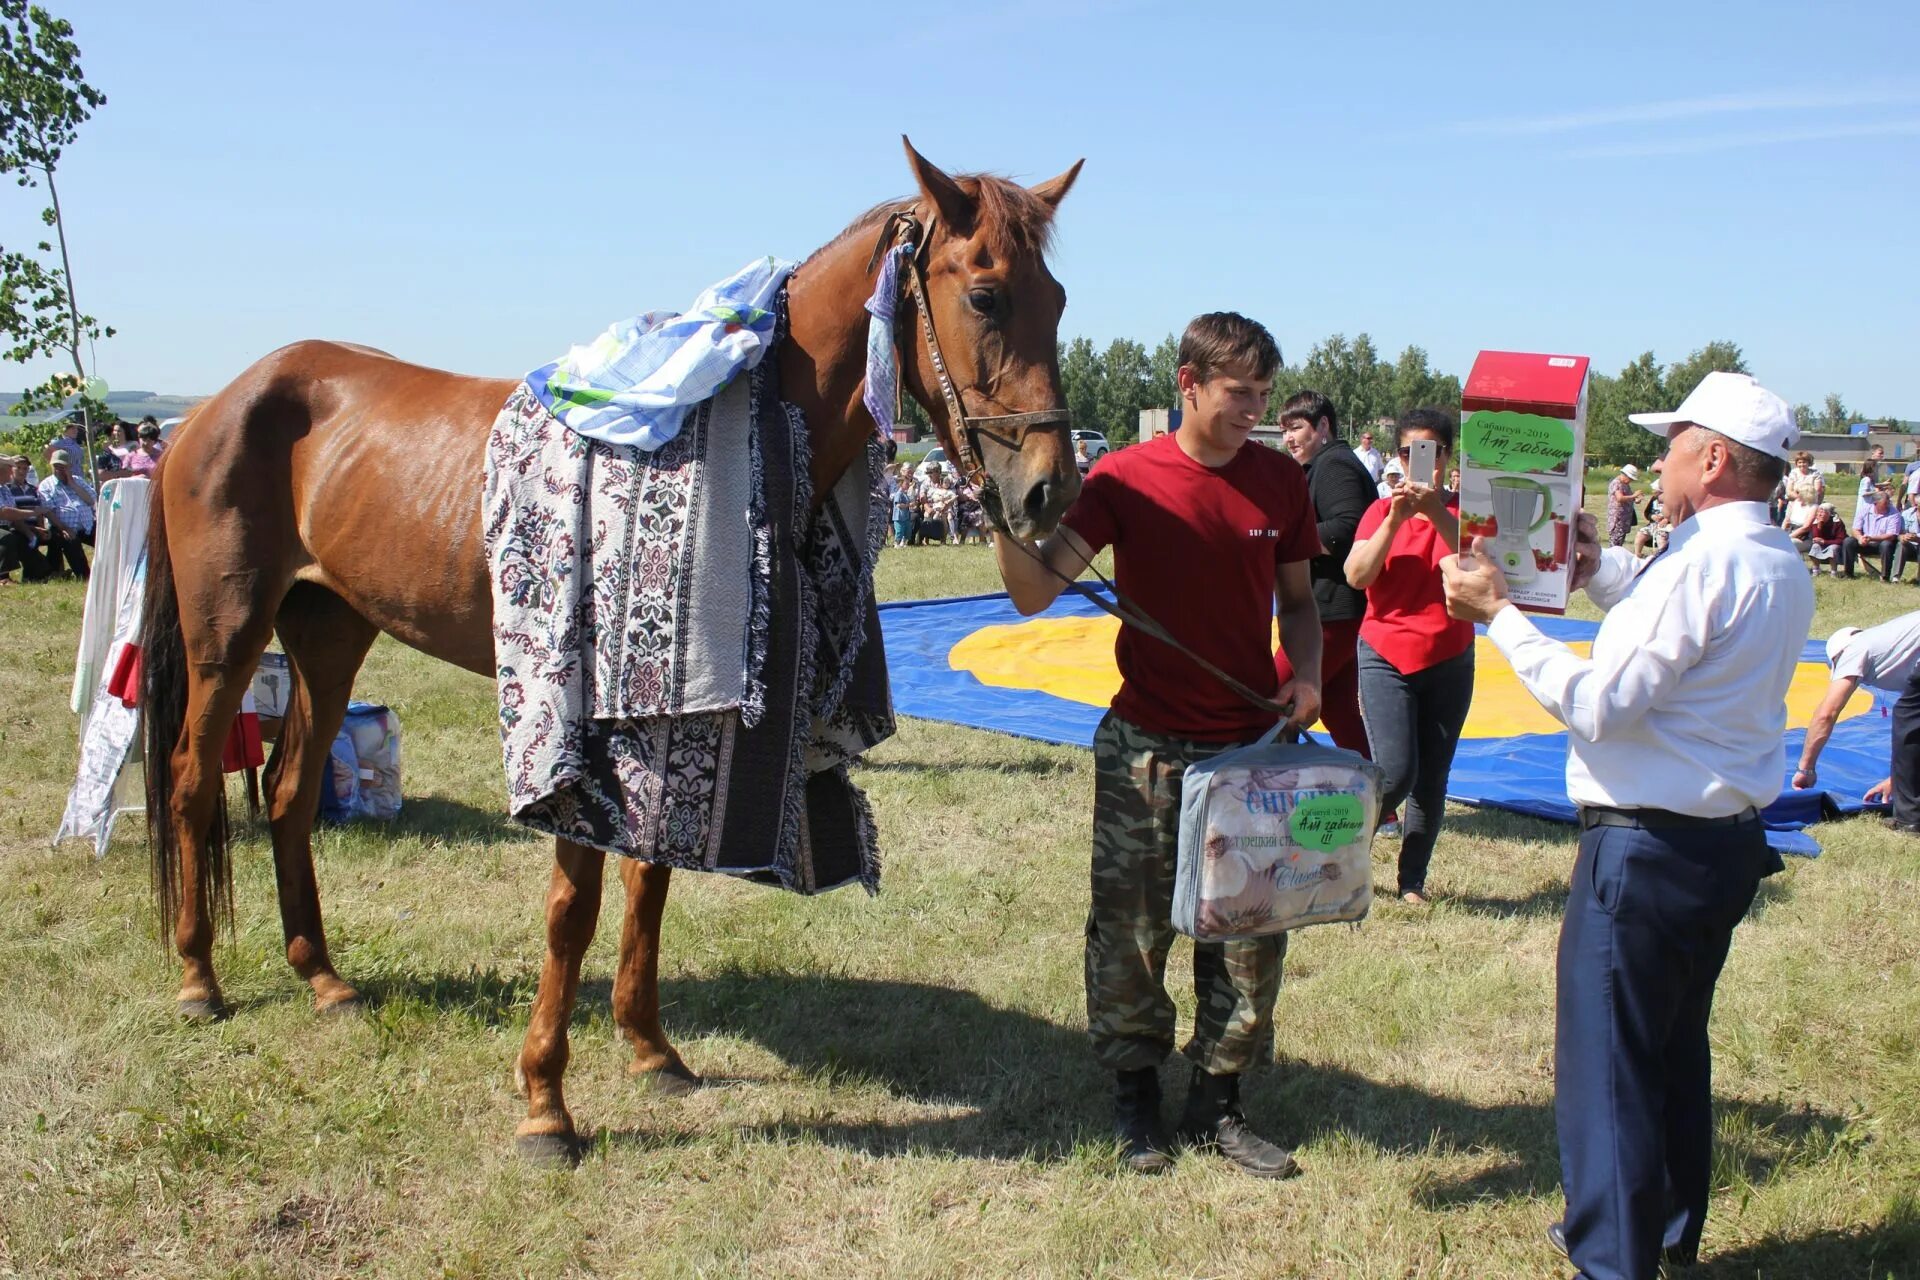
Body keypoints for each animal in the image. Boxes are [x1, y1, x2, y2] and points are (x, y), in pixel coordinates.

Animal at [139, 142, 1082, 1159]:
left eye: (1057, 297)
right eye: (985, 295)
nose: (1049, 493)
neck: (718, 444)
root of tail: (212, 409)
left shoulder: (680, 718)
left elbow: (648, 884)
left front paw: (651, 1050)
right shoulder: (581, 723)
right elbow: (575, 907)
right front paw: (546, 1103)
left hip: (329, 631)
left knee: (287, 790)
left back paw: (322, 976)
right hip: (226, 636)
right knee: (193, 781)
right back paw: (198, 980)